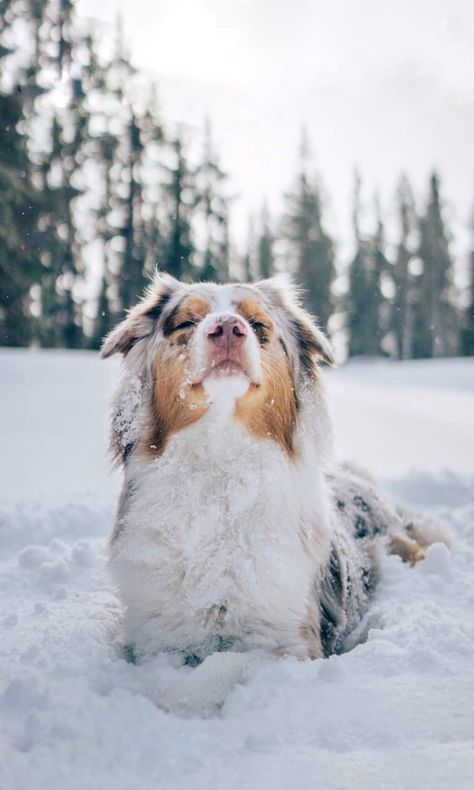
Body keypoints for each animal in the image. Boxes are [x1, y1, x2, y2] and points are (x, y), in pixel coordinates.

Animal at [102, 276, 446, 664]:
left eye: (257, 324)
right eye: (188, 321)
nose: (228, 329)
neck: (221, 459)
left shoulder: (286, 640)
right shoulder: (156, 643)